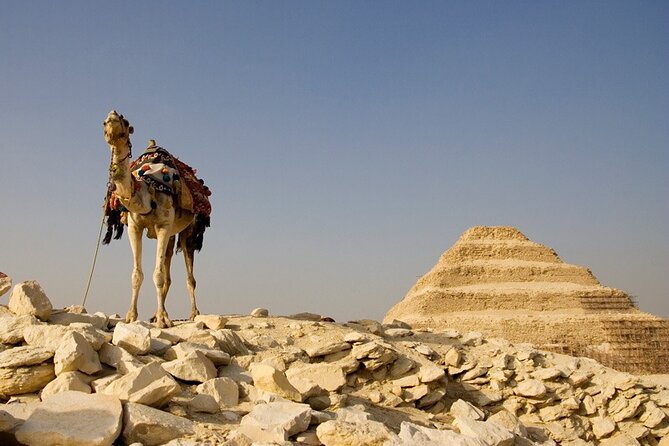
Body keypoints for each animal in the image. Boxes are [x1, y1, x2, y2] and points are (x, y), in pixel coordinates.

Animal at [102, 110, 210, 327]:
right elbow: (137, 274)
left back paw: (193, 313)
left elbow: (158, 275)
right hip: (172, 233)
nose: (112, 117)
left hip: (188, 230)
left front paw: (162, 320)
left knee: (189, 274)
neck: (146, 191)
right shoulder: (134, 227)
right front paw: (131, 316)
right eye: (103, 122)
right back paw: (156, 313)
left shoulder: (163, 225)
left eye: (125, 122)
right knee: (168, 268)